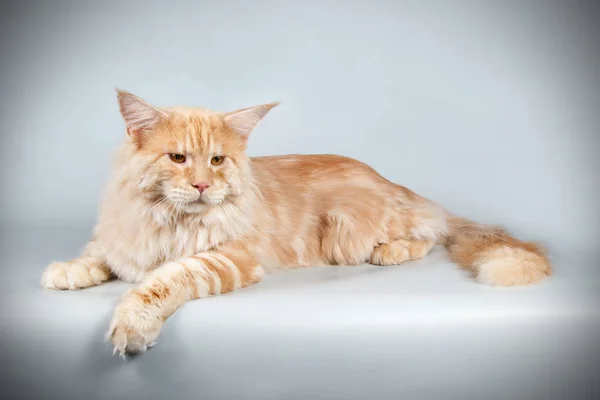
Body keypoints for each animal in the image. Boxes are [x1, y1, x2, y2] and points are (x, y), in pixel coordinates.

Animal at [39, 90, 552, 356]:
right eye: (178, 158)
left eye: (218, 160)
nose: (203, 185)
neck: (168, 220)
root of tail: (396, 185)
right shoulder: (121, 236)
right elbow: (97, 254)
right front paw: (67, 271)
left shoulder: (229, 258)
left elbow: (161, 281)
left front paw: (133, 325)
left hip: (352, 230)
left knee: (427, 231)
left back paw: (392, 251)